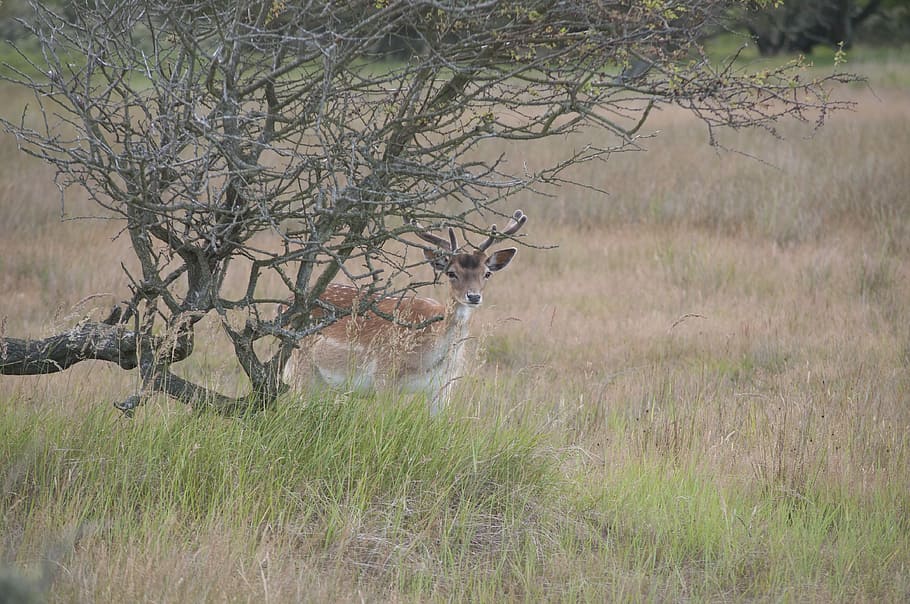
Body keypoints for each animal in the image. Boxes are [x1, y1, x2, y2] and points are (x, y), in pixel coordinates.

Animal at [281, 210, 528, 414]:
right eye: (451, 272)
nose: (473, 296)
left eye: (487, 273)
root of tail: (286, 304)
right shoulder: (384, 375)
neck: (429, 359)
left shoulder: (445, 386)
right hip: (300, 364)